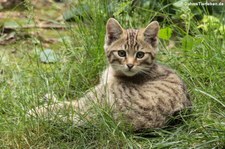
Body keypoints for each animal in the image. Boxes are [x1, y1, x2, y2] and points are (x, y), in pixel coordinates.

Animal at [30, 18, 192, 130]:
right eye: (121, 53)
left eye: (140, 55)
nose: (130, 65)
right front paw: (48, 98)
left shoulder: (90, 99)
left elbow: (66, 104)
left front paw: (38, 109)